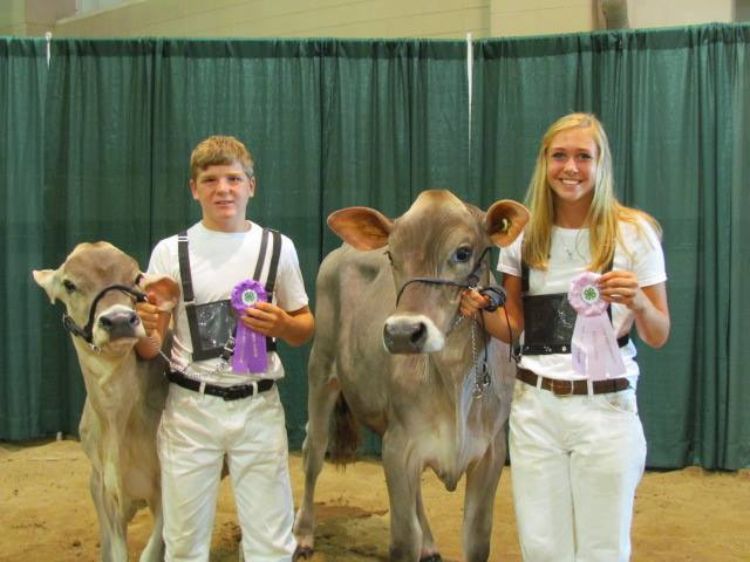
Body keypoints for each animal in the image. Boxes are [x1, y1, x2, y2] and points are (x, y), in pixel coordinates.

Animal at [33, 242, 179, 560]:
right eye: (70, 284)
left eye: (136, 278)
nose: (120, 320)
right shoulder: (105, 490)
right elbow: (116, 551)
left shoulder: (167, 488)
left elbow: (152, 551)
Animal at [294, 189, 528, 560]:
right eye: (392, 254)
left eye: (463, 252)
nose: (403, 333)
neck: (453, 380)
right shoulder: (398, 447)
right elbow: (403, 540)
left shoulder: (490, 453)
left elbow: (477, 540)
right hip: (321, 366)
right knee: (313, 450)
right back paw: (303, 536)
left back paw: (429, 545)